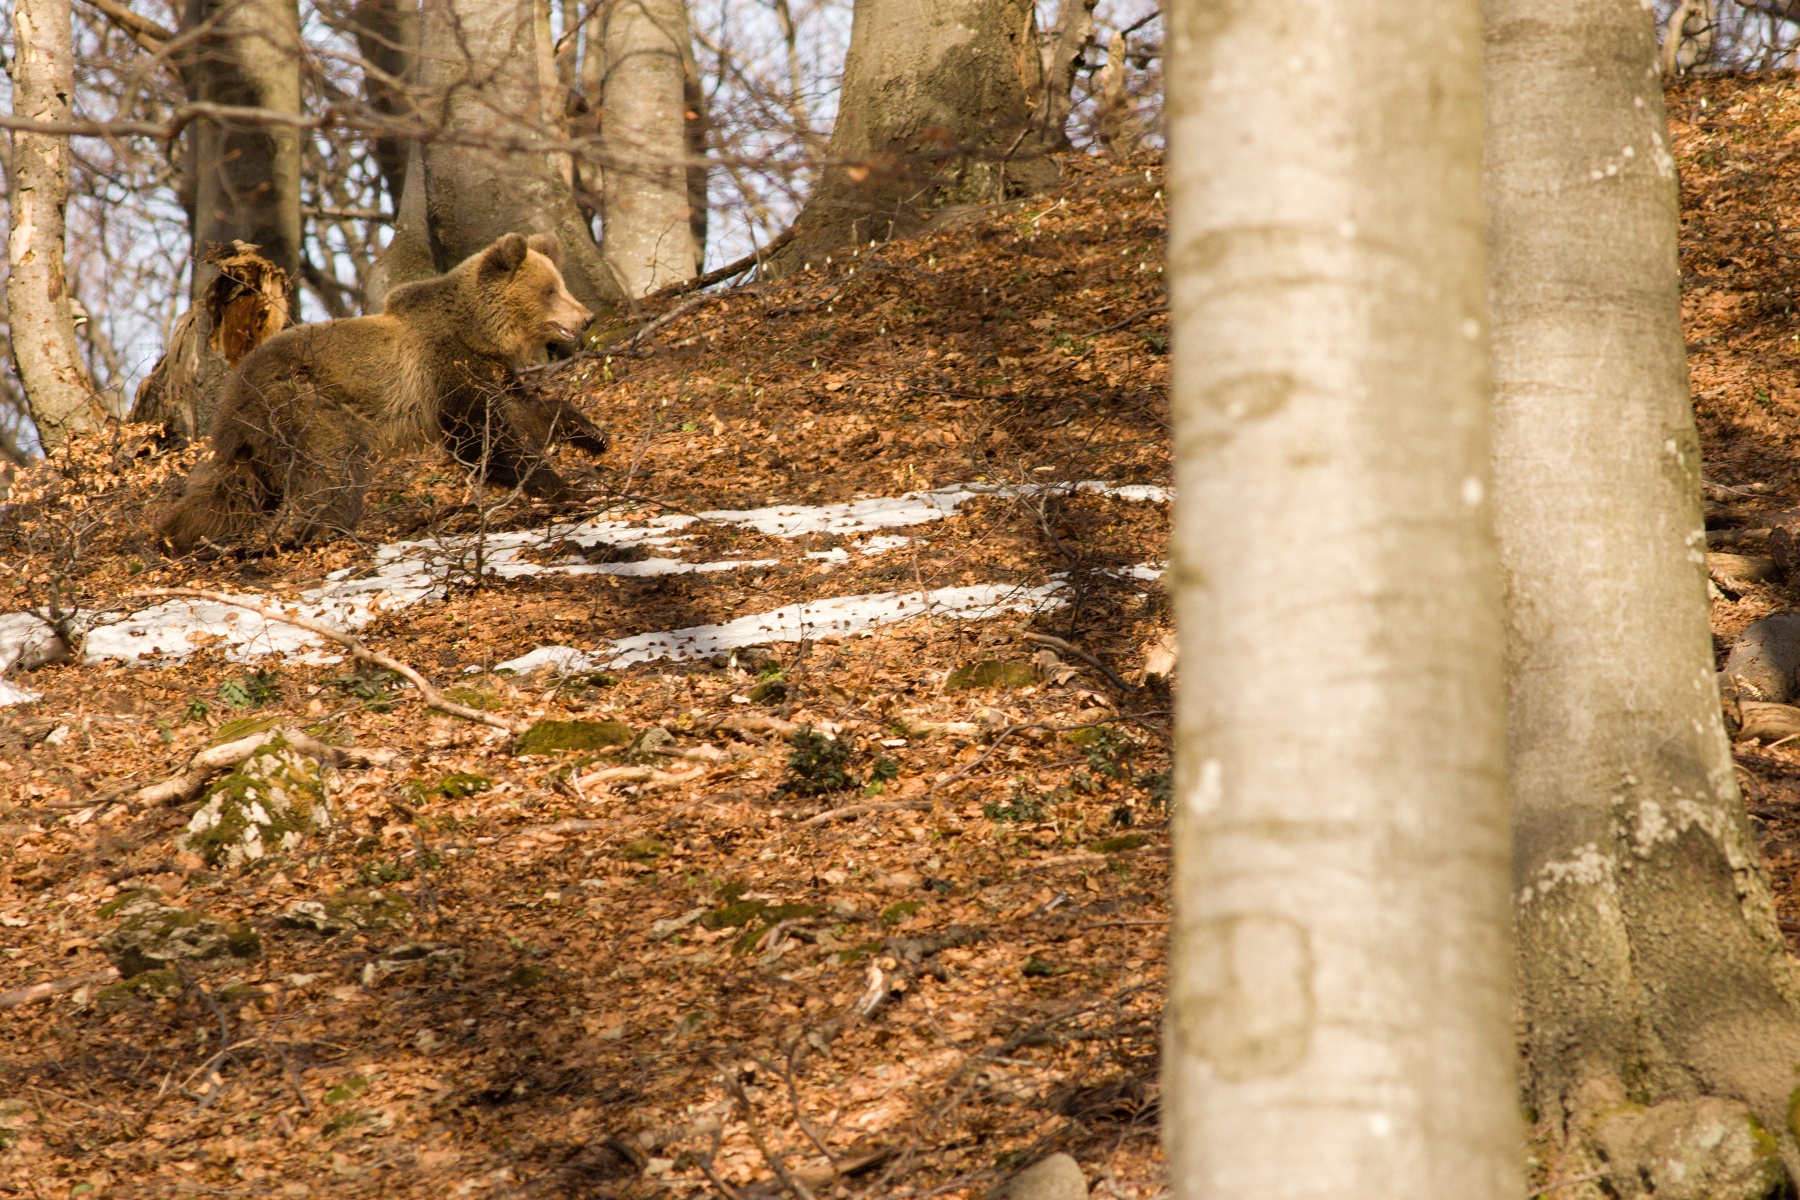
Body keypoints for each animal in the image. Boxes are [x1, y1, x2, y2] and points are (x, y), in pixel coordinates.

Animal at [157, 232, 604, 557]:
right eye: (549, 290)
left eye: (559, 284)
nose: (586, 317)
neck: (479, 331)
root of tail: (234, 388)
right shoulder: (444, 367)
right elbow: (480, 438)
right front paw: (562, 487)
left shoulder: (489, 373)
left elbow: (525, 411)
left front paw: (592, 436)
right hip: (304, 404)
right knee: (334, 469)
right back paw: (327, 530)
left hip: (258, 439)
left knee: (235, 491)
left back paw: (177, 536)